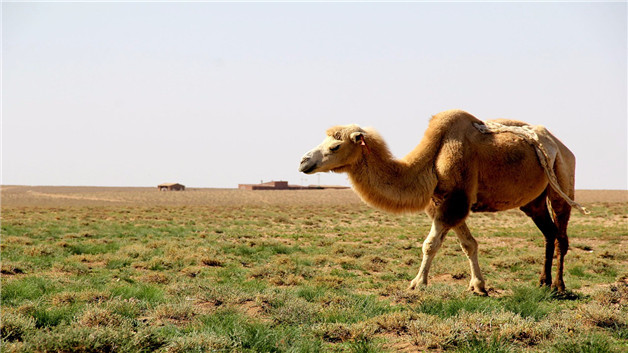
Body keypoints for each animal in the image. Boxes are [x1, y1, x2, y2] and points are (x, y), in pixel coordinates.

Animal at [296, 108, 588, 292]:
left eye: (335, 146)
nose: (303, 161)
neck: (431, 160)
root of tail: (561, 146)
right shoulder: (444, 202)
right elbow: (469, 244)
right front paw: (478, 286)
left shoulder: (455, 201)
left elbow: (430, 244)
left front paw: (417, 284)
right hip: (534, 201)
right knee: (548, 233)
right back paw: (543, 282)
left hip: (562, 178)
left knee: (562, 235)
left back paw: (559, 286)